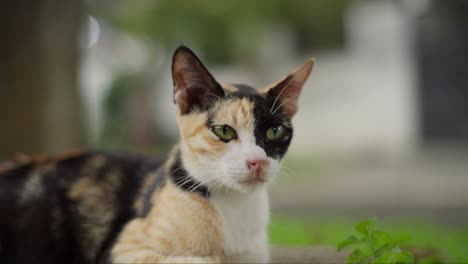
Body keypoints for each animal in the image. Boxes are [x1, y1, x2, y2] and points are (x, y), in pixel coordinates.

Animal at [0, 46, 316, 262]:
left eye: (275, 132)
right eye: (224, 132)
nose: (257, 161)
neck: (234, 207)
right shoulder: (125, 249)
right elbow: (200, 259)